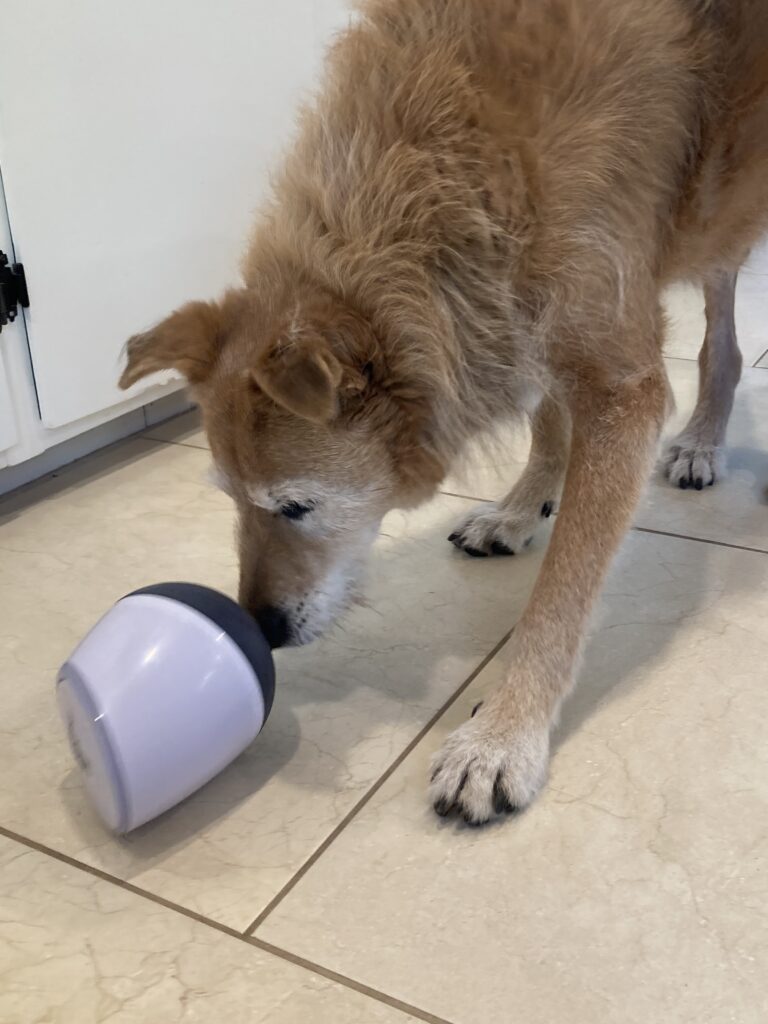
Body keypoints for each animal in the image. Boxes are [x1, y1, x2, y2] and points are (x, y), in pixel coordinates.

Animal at [120, 0, 768, 823]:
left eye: (295, 506)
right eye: (229, 500)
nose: (259, 629)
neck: (468, 151)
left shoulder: (620, 384)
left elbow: (563, 591)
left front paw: (503, 734)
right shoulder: (516, 312)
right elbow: (547, 417)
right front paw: (523, 507)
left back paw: (704, 441)